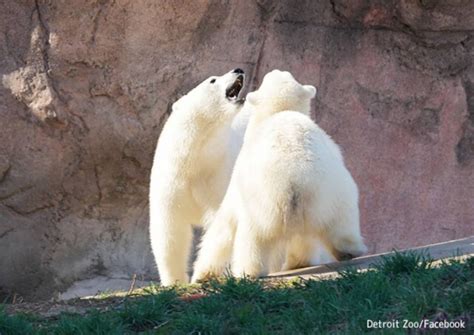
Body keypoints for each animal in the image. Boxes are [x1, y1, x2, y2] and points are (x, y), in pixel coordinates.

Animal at [150, 69, 248, 286]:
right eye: (212, 80)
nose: (239, 70)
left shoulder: (218, 173)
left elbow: (221, 224)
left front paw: (204, 274)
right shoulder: (170, 180)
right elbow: (170, 229)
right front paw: (173, 281)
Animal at [192, 69, 366, 280]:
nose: (276, 70)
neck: (280, 112)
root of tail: (295, 181)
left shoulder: (239, 174)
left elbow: (223, 225)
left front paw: (202, 273)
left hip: (260, 202)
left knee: (253, 237)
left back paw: (247, 271)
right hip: (333, 194)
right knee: (334, 225)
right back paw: (345, 251)